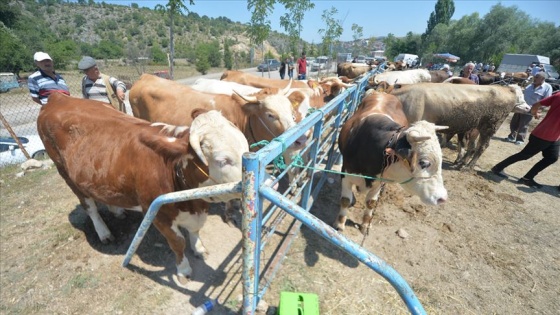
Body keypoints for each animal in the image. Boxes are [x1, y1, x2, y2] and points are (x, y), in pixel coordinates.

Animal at [38, 92, 248, 280]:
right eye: (223, 160)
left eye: (245, 146)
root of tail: (58, 97)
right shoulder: (157, 214)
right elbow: (177, 243)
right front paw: (184, 270)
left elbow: (195, 230)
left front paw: (199, 248)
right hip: (65, 173)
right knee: (89, 206)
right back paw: (104, 232)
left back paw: (117, 210)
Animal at [334, 90, 448, 233]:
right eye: (424, 163)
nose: (442, 198)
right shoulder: (346, 174)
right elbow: (345, 200)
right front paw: (340, 224)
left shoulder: (379, 182)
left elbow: (371, 203)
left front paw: (365, 224)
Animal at [392, 82, 528, 169]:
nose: (527, 108)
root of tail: (506, 89)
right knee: (473, 146)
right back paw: (461, 163)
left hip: (490, 126)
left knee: (482, 146)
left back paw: (468, 167)